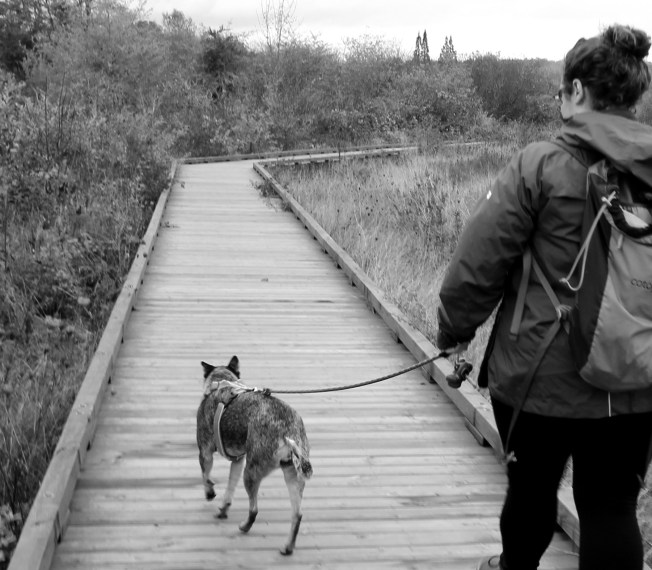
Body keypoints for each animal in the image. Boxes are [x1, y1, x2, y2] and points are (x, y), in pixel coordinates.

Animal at [196, 355, 312, 555]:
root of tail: (288, 432)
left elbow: (205, 476)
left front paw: (210, 492)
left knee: (254, 510)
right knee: (297, 515)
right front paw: (223, 509)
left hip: (251, 472)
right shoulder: (237, 461)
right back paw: (288, 547)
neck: (223, 383)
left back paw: (244, 526)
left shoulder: (204, 452)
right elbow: (229, 490)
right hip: (293, 476)